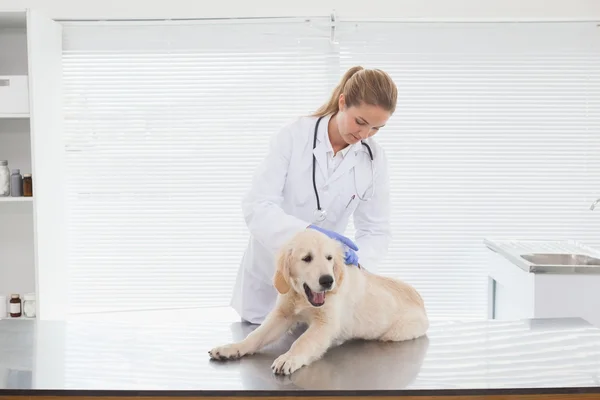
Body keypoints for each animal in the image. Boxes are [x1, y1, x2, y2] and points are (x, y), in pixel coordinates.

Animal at [209, 228, 428, 376]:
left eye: (329, 258)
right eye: (307, 258)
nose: (327, 281)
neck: (302, 298)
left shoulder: (325, 324)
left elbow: (303, 341)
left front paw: (288, 358)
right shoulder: (282, 315)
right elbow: (255, 336)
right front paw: (231, 348)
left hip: (397, 332)